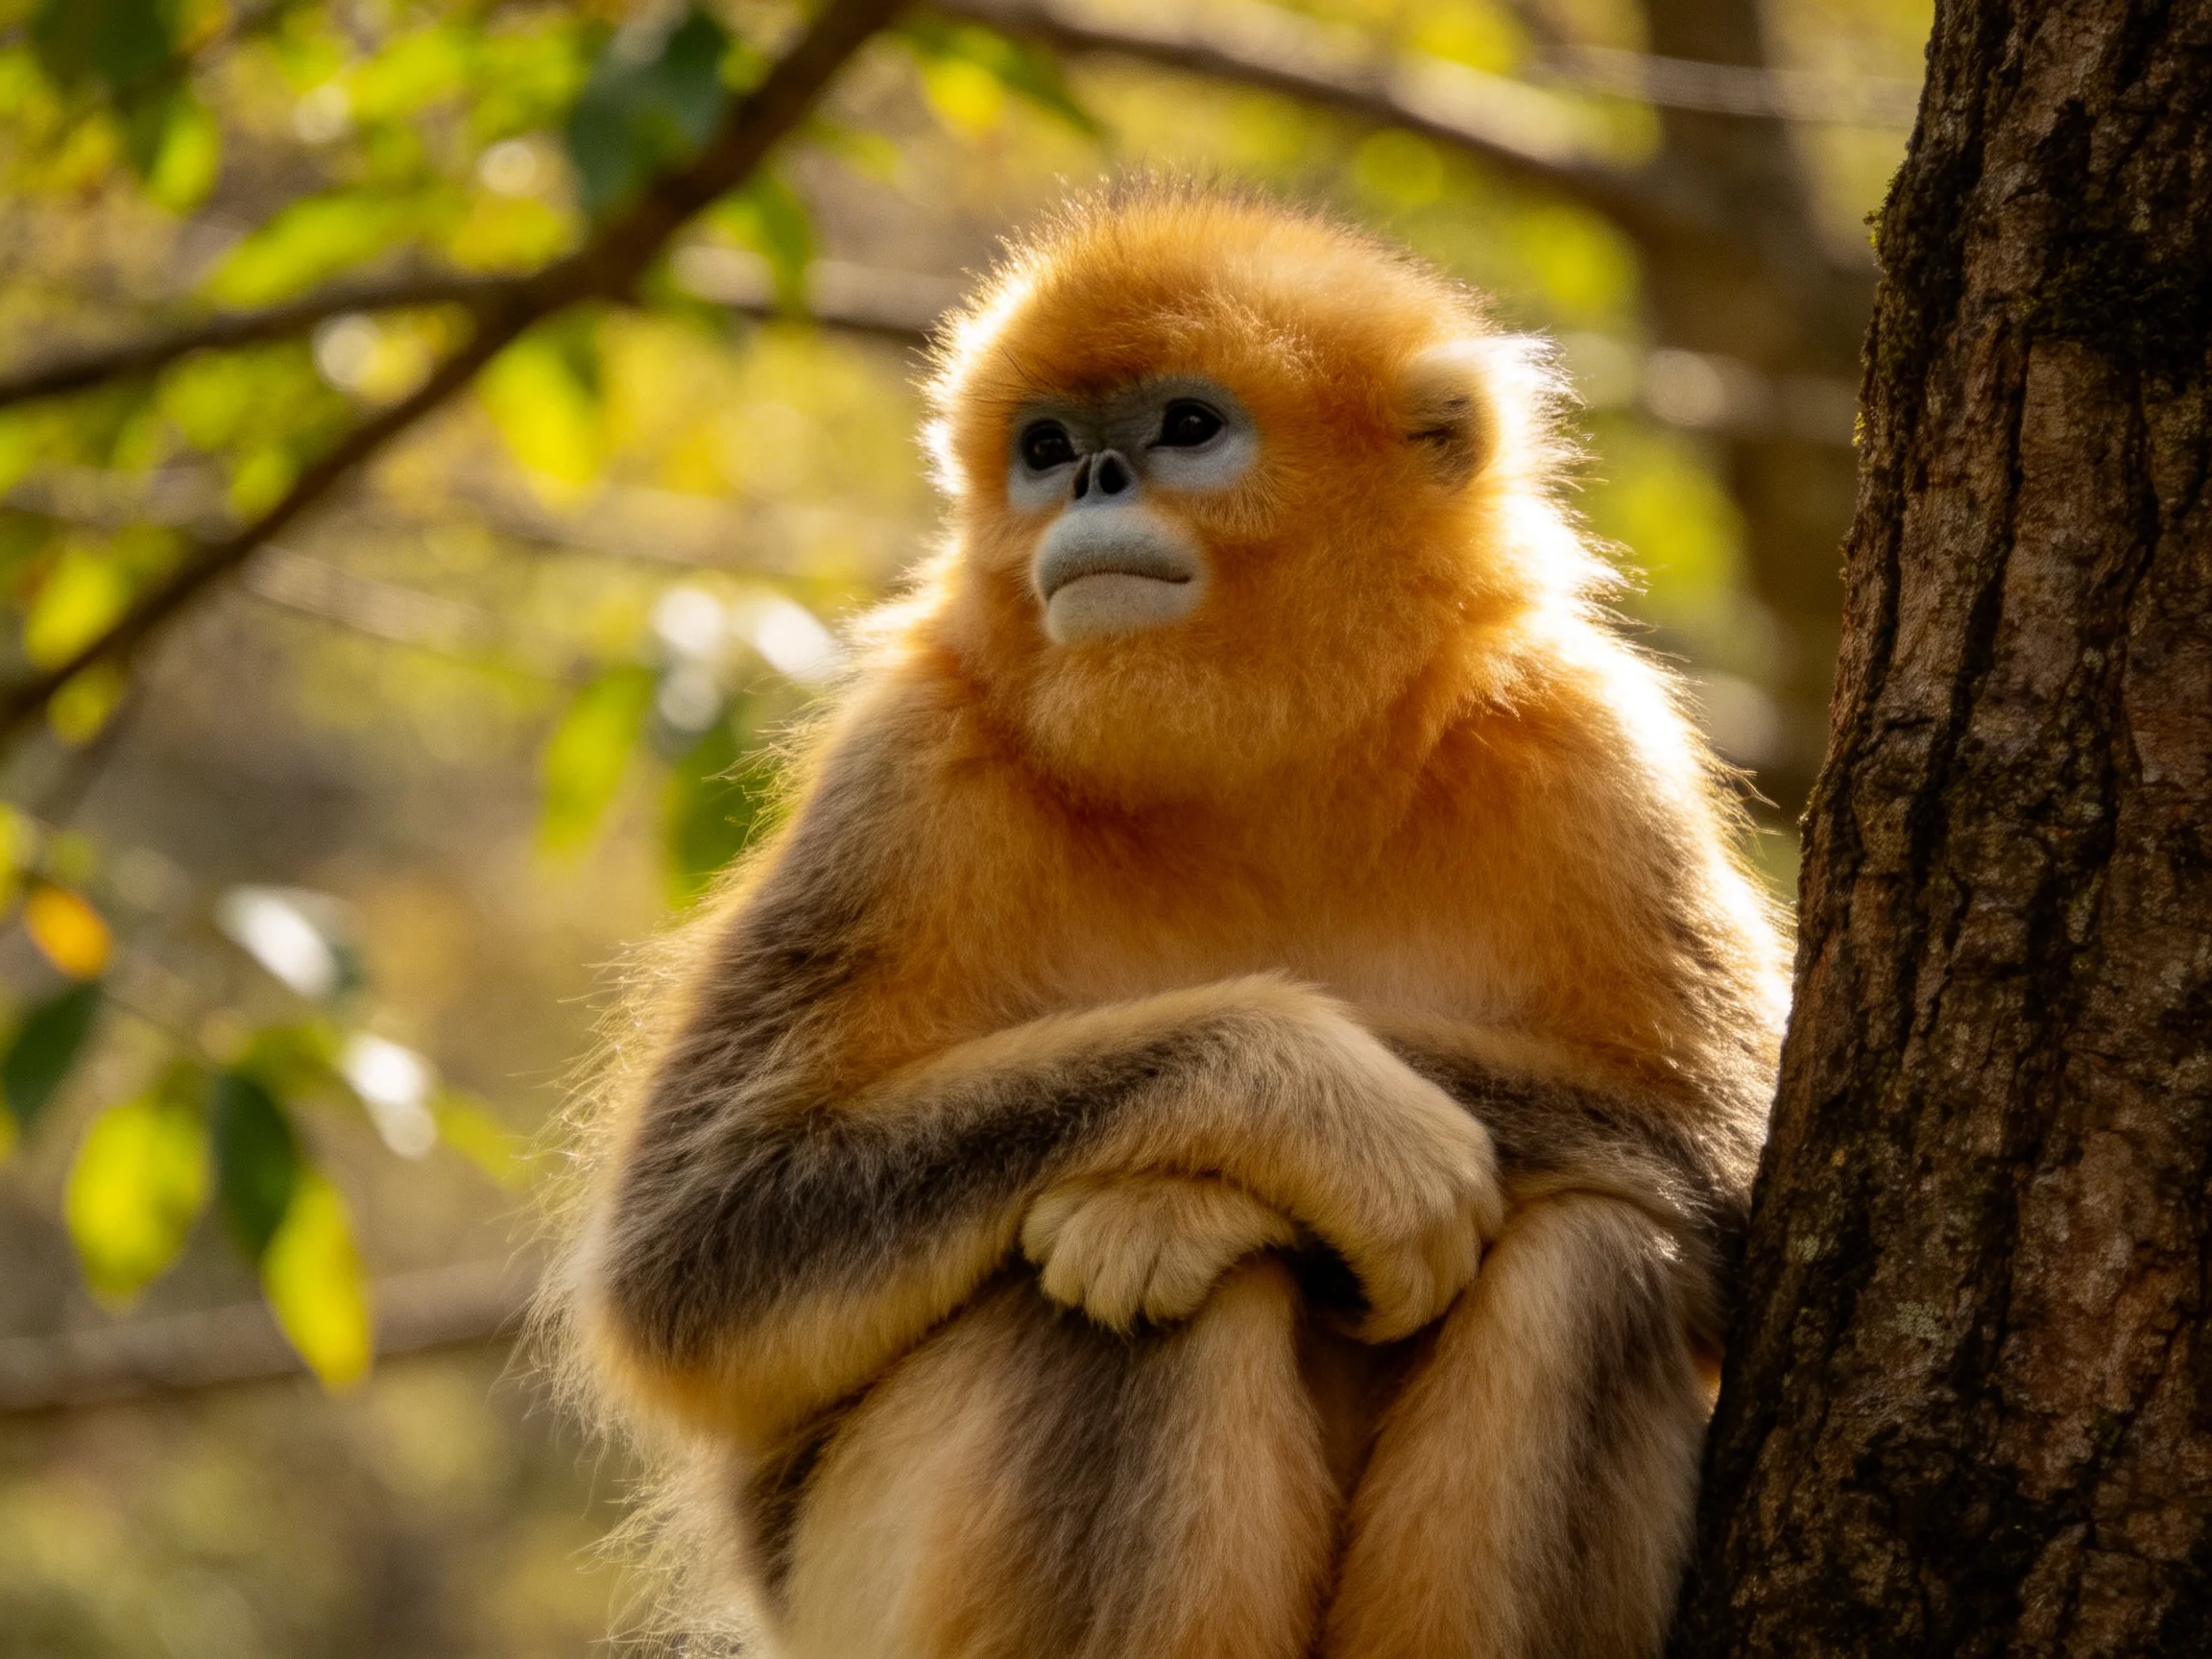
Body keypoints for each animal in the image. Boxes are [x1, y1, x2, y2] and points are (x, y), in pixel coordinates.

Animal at [553, 182, 1789, 1659]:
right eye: (1044, 448)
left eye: (1187, 429)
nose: (1094, 480)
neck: (1251, 777)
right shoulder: (908, 768)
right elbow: (693, 1253)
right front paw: (1317, 1109)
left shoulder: (1593, 745)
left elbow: (1726, 1165)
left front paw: (1188, 1200)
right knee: (1102, 1316)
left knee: (1602, 1265)